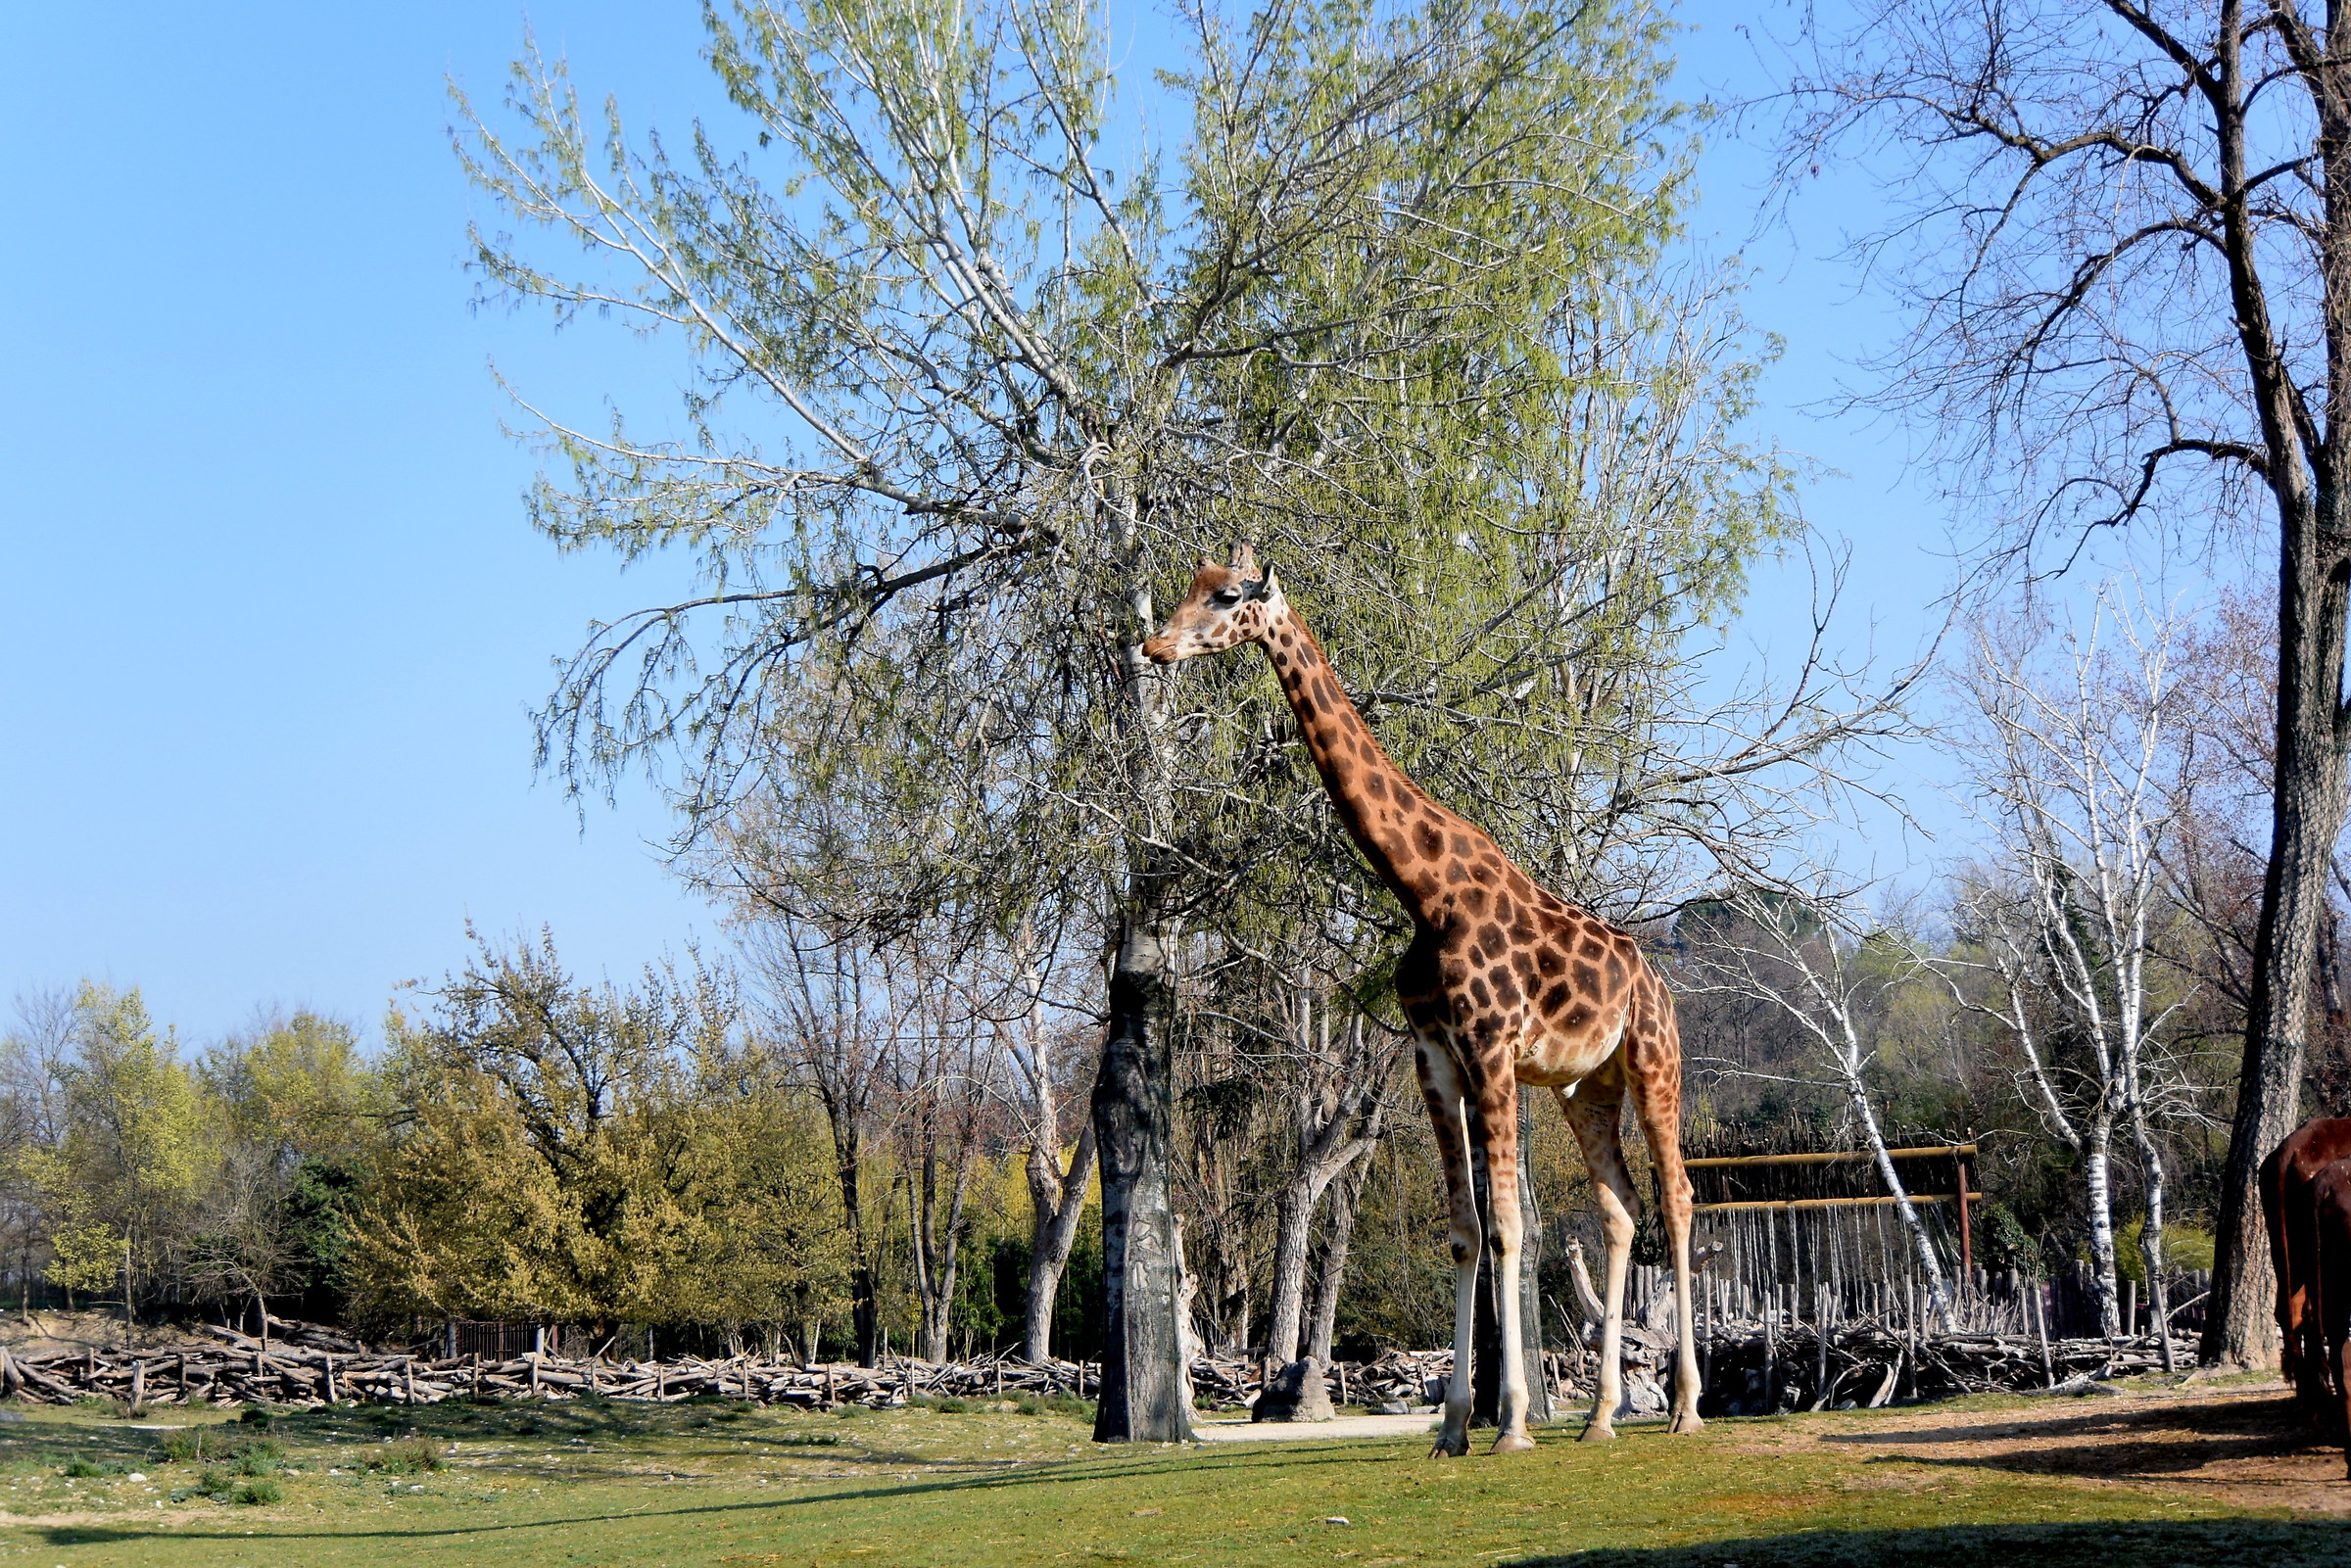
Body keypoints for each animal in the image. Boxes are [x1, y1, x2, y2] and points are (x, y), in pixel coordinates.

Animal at [1143, 546, 1703, 1455]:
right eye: (1189, 587)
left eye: (1225, 596)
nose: (1155, 645)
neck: (1421, 886)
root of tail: (1656, 982)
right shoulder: (1435, 1054)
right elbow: (1464, 1230)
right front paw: (1453, 1428)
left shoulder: (1492, 1047)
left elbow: (1509, 1226)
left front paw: (1511, 1423)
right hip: (1587, 1086)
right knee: (1620, 1208)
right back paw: (1600, 1417)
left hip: (1656, 1063)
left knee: (1678, 1198)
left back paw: (1686, 1405)